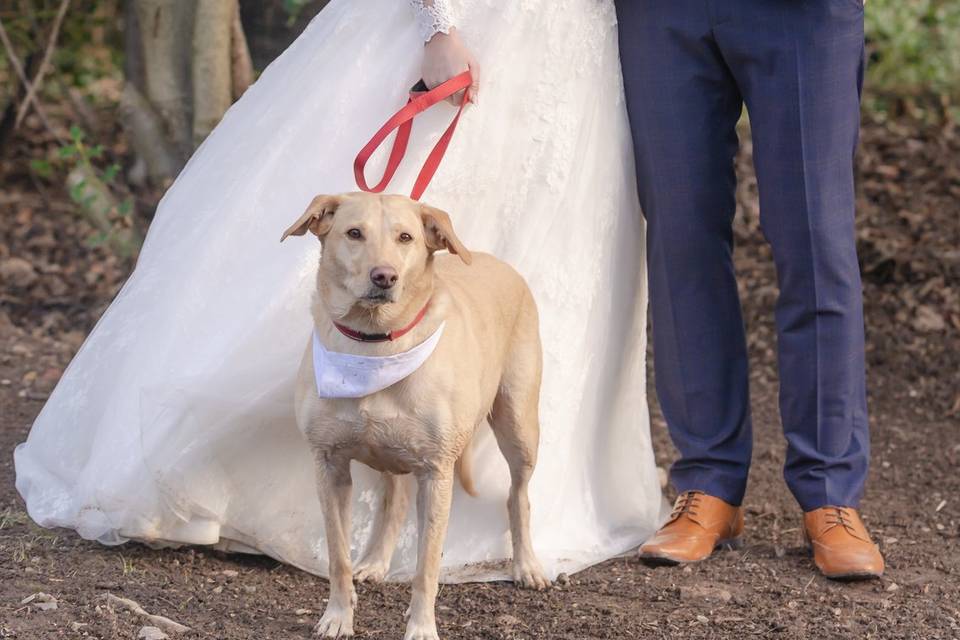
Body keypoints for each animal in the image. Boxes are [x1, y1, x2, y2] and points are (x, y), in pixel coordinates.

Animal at [282, 192, 548, 636]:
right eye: (354, 233)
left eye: (405, 237)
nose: (384, 276)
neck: (375, 344)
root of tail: (498, 261)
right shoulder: (329, 465)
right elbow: (338, 557)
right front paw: (337, 617)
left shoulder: (436, 474)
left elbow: (427, 568)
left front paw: (422, 628)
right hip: (390, 452)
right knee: (396, 500)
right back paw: (375, 561)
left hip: (519, 426)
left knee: (519, 495)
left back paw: (527, 565)